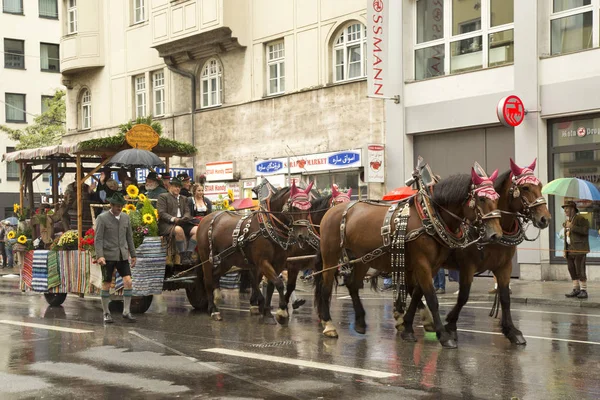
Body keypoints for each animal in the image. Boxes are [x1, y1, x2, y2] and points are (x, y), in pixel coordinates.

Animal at [196, 181, 314, 322]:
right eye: (294, 208)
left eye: (308, 208)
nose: (303, 236)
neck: (269, 225)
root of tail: (207, 218)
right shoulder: (263, 262)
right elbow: (279, 283)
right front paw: (281, 309)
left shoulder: (279, 263)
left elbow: (271, 285)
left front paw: (268, 311)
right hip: (206, 258)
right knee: (207, 279)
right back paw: (214, 310)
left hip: (226, 261)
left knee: (215, 275)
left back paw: (215, 300)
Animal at [316, 164, 504, 348]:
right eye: (481, 199)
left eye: (497, 198)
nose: (495, 235)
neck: (429, 215)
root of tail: (332, 210)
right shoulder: (422, 263)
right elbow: (431, 298)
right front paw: (443, 335)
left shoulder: (433, 266)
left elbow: (417, 294)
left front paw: (407, 327)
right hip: (330, 256)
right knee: (326, 286)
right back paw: (329, 324)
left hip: (362, 258)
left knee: (353, 285)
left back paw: (360, 322)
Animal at [438, 159, 552, 344]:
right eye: (525, 188)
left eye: (540, 185)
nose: (545, 219)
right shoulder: (467, 267)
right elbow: (463, 296)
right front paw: (451, 325)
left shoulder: (504, 266)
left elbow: (505, 297)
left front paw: (511, 330)